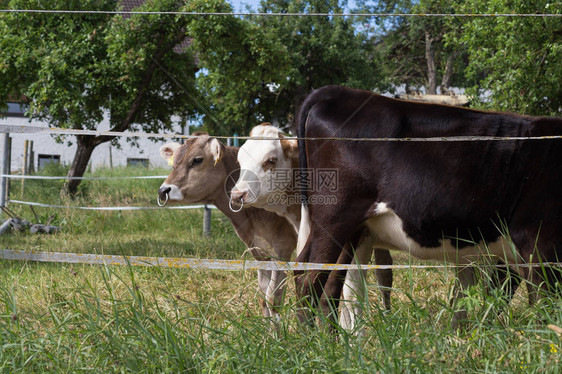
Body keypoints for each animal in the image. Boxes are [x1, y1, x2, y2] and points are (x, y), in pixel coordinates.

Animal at [155, 134, 296, 322]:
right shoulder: (260, 252)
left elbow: (274, 298)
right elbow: (263, 298)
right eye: (174, 162)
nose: (163, 190)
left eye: (197, 160)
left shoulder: (282, 249)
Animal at [296, 85, 556, 328]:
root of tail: (337, 92)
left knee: (329, 285)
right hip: (334, 219)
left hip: (352, 230)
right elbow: (545, 301)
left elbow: (499, 293)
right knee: (308, 279)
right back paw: (311, 341)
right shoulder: (537, 243)